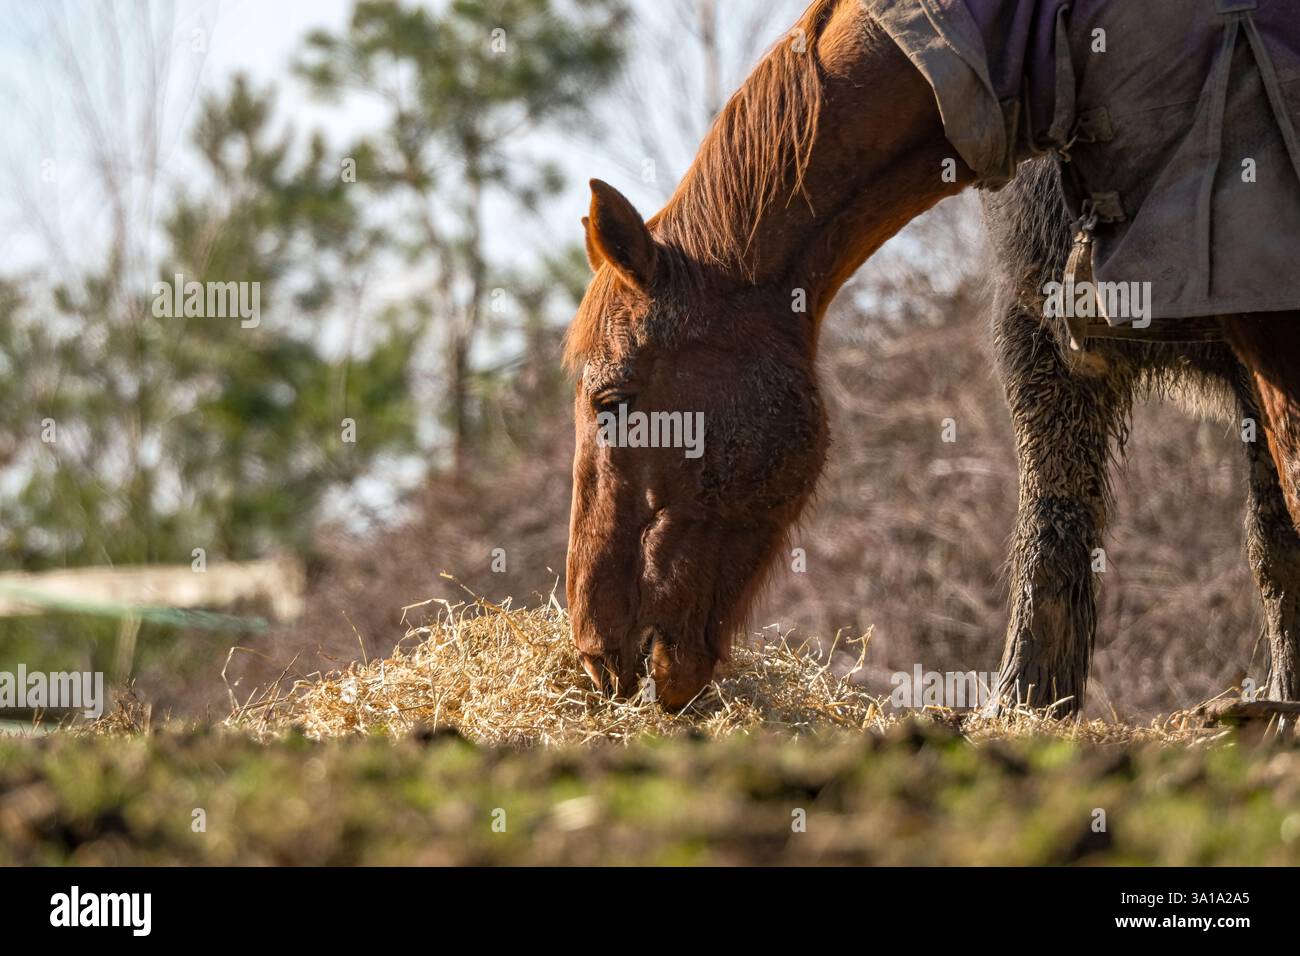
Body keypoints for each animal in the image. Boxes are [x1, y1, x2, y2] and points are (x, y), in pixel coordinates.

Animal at [563, 0, 1300, 713]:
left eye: (612, 402)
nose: (596, 652)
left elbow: (1280, 521)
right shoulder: (1047, 339)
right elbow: (1056, 523)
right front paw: (1021, 705)